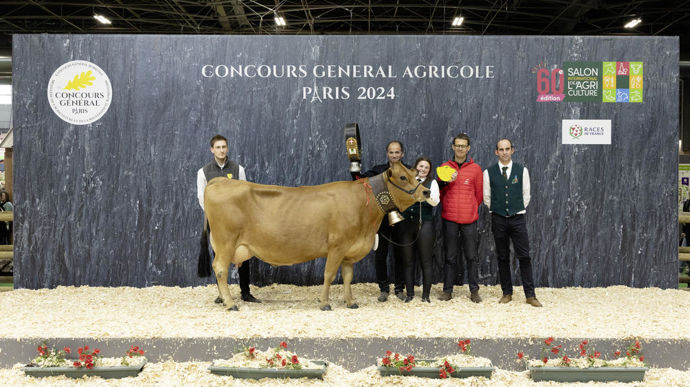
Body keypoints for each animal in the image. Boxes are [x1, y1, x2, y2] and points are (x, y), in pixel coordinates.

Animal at [200, 162, 424, 310]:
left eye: (415, 174)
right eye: (402, 177)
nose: (427, 191)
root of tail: (218, 181)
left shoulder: (349, 251)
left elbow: (348, 277)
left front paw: (350, 302)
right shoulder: (337, 246)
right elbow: (329, 274)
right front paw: (325, 303)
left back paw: (224, 300)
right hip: (226, 242)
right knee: (220, 269)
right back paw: (230, 304)